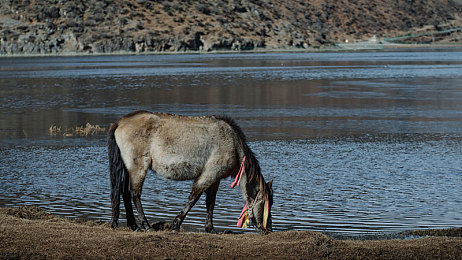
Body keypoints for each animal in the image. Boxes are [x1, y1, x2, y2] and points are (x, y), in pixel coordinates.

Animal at [107, 110, 274, 233]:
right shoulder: (209, 175)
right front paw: (176, 224)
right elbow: (194, 197)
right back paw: (146, 226)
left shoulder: (215, 179)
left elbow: (210, 202)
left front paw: (210, 228)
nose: (268, 229)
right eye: (267, 203)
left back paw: (134, 225)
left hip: (128, 168)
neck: (232, 142)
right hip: (138, 167)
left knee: (124, 192)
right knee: (134, 193)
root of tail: (120, 122)